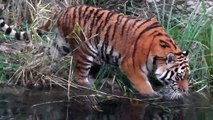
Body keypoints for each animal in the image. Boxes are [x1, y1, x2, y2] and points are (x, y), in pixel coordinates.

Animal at [0, 5, 190, 99]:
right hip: (85, 50)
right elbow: (143, 84)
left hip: (61, 45)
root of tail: (63, 10)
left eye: (188, 77)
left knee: (47, 56)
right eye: (179, 76)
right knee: (79, 75)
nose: (186, 91)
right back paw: (88, 85)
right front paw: (152, 95)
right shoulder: (131, 66)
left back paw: (42, 70)